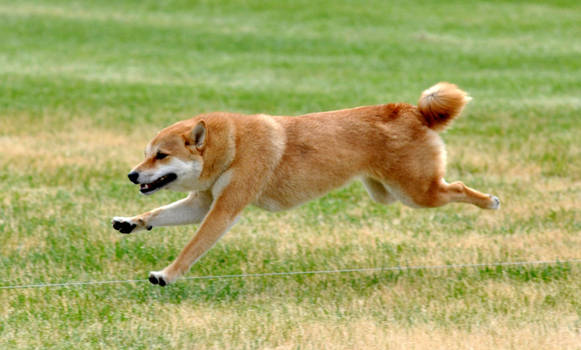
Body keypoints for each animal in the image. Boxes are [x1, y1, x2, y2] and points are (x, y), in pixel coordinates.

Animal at [112, 82, 498, 288]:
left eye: (161, 155)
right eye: (147, 154)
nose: (131, 175)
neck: (232, 146)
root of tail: (414, 111)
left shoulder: (224, 209)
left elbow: (192, 248)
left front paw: (167, 274)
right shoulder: (203, 202)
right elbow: (157, 212)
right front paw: (131, 222)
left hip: (416, 193)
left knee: (457, 188)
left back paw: (489, 201)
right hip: (386, 193)